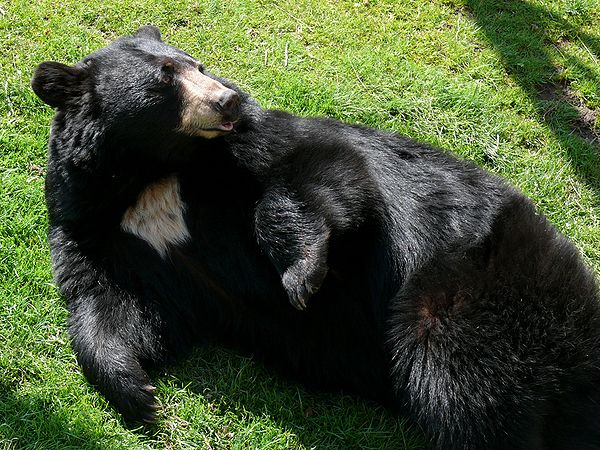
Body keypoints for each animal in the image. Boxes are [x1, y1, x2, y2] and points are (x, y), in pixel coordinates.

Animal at [31, 26, 600, 448]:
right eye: (165, 78)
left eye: (197, 64)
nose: (228, 99)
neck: (150, 173)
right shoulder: (95, 228)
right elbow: (111, 302)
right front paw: (139, 393)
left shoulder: (255, 148)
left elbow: (323, 171)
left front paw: (303, 277)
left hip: (476, 293)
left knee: (469, 384)